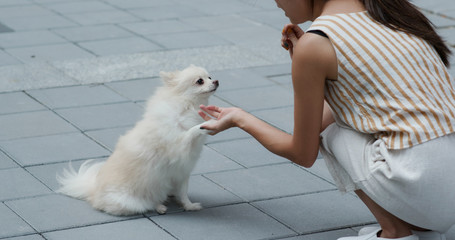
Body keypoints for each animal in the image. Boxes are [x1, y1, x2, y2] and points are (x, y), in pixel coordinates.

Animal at [56, 65, 220, 216]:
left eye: (210, 77)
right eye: (199, 81)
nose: (216, 81)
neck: (186, 106)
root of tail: (93, 192)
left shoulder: (183, 170)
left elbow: (183, 192)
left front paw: (189, 206)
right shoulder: (179, 147)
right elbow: (191, 132)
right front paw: (203, 125)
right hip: (133, 201)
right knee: (147, 203)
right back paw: (159, 206)